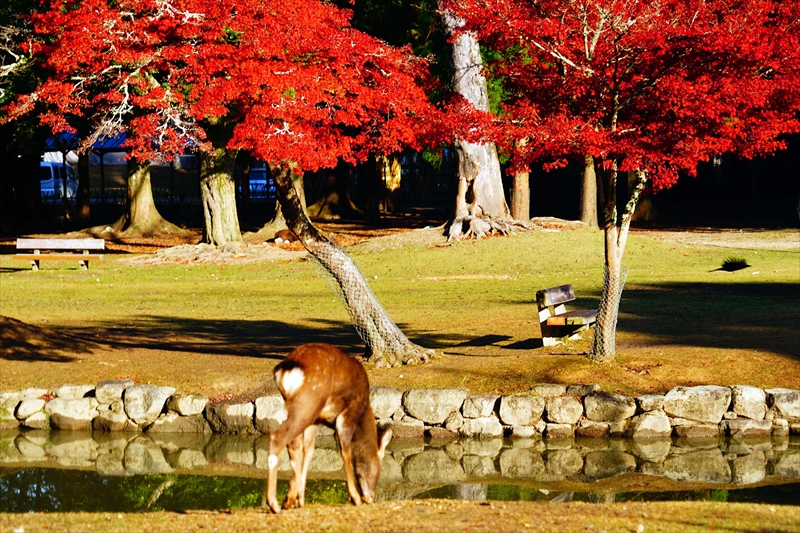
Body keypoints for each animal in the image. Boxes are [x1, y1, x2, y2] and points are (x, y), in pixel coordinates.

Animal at [264, 342, 392, 512]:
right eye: (381, 469)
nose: (370, 497)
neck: (363, 412)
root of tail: (286, 369)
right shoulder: (346, 417)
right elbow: (346, 453)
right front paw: (355, 498)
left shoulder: (316, 421)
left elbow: (309, 451)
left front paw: (300, 499)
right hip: (308, 402)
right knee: (277, 437)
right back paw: (274, 503)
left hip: (303, 409)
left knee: (294, 445)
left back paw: (289, 499)